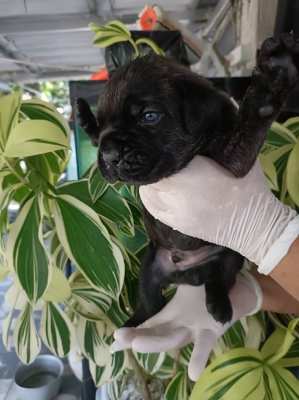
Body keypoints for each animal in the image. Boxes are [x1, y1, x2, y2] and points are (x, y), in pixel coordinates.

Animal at [78, 34, 299, 326]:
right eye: (102, 123)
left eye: (149, 116)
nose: (110, 155)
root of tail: (187, 274)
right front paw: (86, 119)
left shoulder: (234, 160)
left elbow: (248, 129)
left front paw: (271, 82)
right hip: (150, 266)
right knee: (150, 302)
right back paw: (135, 323)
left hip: (230, 256)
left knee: (219, 279)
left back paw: (219, 305)